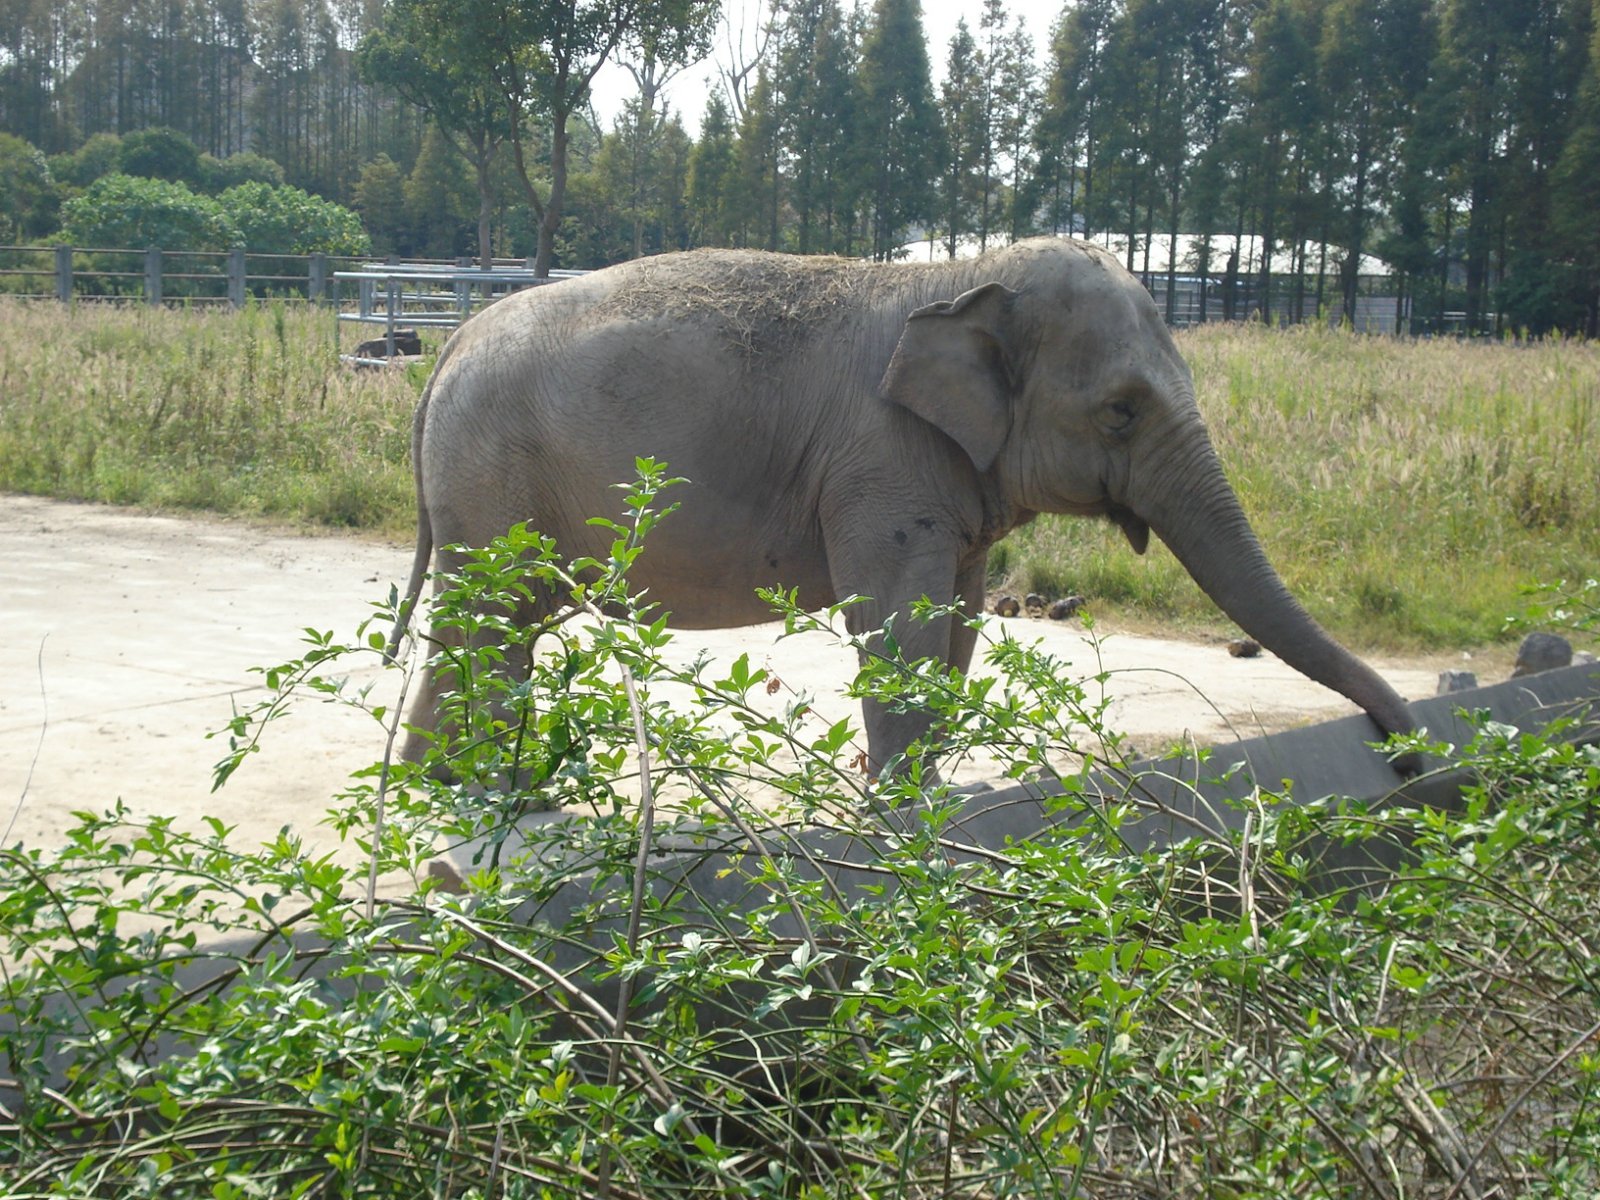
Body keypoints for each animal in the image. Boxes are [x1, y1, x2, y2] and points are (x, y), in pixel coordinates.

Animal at [387, 240, 1414, 774]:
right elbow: (897, 628)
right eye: (1121, 411)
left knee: (503, 631)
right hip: (490, 482)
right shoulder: (881, 463)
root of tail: (448, 347)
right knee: (486, 627)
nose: (1404, 751)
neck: (963, 275)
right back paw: (464, 800)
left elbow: (956, 629)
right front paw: (898, 824)